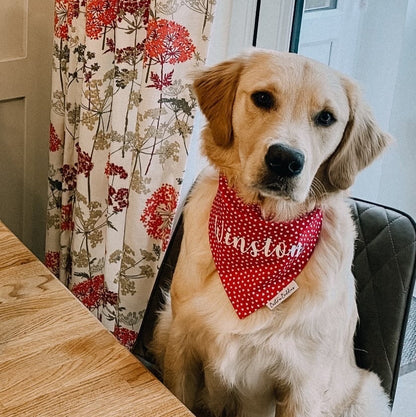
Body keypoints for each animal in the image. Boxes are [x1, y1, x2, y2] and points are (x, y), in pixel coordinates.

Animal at [151, 49, 392, 416]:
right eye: (262, 98)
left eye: (326, 118)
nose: (285, 160)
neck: (261, 230)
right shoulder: (182, 345)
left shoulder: (304, 386)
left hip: (367, 395)